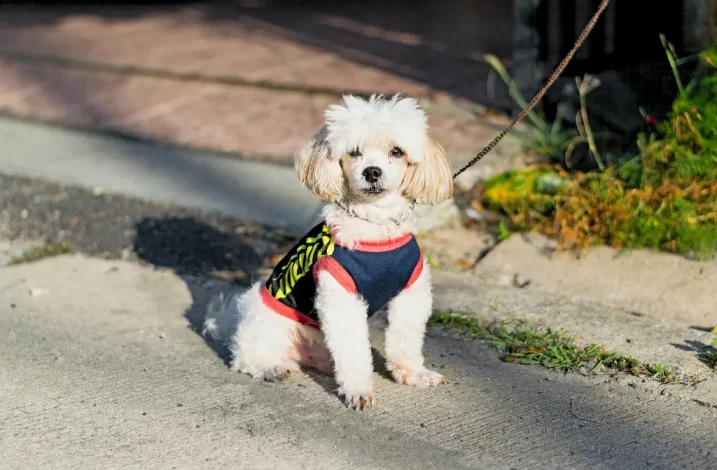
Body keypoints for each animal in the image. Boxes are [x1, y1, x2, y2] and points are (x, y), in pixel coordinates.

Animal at [204, 93, 454, 410]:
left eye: (396, 152)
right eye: (354, 152)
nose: (372, 171)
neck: (374, 227)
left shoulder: (411, 293)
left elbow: (406, 339)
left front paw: (414, 374)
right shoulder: (341, 297)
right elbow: (353, 351)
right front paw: (358, 390)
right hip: (269, 326)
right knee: (245, 356)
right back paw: (271, 367)